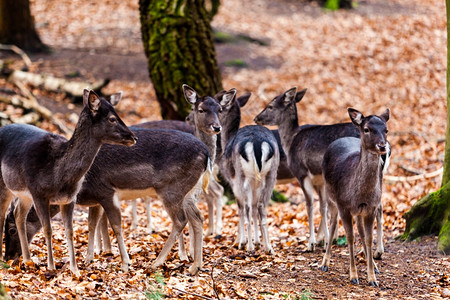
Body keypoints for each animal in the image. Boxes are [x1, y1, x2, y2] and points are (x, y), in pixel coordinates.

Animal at [0, 89, 136, 276]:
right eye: (112, 119)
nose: (133, 137)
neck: (59, 175)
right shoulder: (38, 193)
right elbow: (48, 229)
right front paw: (51, 267)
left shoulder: (69, 199)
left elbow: (69, 231)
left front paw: (75, 269)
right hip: (6, 185)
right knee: (2, 215)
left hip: (23, 194)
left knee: (19, 214)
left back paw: (27, 261)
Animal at [217, 88, 280, 252]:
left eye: (217, 105)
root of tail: (256, 142)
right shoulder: (255, 183)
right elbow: (254, 208)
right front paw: (258, 242)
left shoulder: (232, 181)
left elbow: (241, 208)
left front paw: (241, 241)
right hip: (271, 174)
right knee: (262, 206)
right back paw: (269, 247)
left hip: (242, 176)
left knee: (246, 207)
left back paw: (249, 247)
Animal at [255, 85, 388, 256]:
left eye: (270, 106)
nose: (257, 118)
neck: (290, 141)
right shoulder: (320, 180)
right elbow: (323, 206)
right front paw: (324, 240)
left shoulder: (302, 173)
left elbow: (310, 205)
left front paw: (311, 243)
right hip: (380, 175)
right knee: (380, 205)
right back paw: (378, 250)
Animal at [320, 108, 390, 286]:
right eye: (366, 129)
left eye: (386, 130)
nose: (382, 146)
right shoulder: (344, 206)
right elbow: (350, 238)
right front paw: (353, 276)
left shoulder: (370, 208)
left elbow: (368, 238)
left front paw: (372, 278)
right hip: (331, 197)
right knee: (332, 224)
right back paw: (324, 263)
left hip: (359, 211)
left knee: (361, 230)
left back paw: (374, 266)